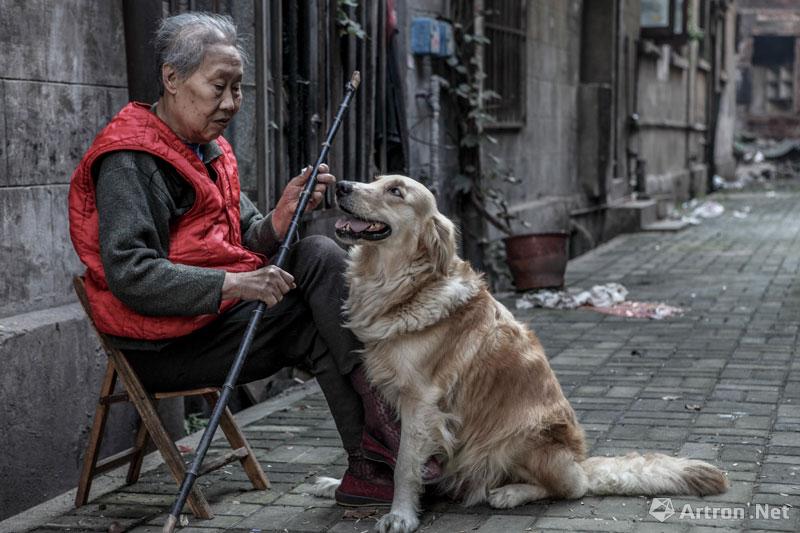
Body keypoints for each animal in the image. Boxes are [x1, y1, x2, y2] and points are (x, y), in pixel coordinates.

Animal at [314, 177, 732, 528]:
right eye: (374, 179)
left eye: (396, 191)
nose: (341, 185)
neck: (402, 285)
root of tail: (581, 461)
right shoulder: (395, 394)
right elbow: (388, 444)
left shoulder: (422, 400)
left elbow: (404, 464)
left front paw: (401, 515)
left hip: (516, 436)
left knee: (571, 488)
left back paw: (510, 493)